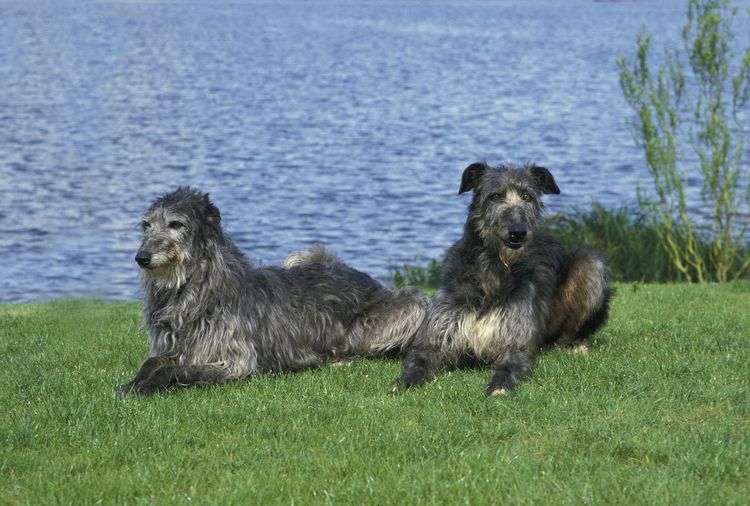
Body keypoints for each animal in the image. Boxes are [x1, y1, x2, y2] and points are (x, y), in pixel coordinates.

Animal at [118, 187, 426, 396]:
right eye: (146, 225)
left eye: (176, 224)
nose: (141, 258)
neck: (196, 288)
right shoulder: (173, 347)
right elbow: (153, 361)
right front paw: (134, 381)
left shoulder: (234, 361)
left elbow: (179, 369)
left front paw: (145, 386)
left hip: (412, 305)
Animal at [390, 164, 612, 398]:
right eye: (495, 196)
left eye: (527, 196)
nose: (518, 233)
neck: (492, 271)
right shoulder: (437, 335)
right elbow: (419, 360)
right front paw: (404, 381)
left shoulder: (515, 342)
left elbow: (509, 365)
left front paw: (499, 385)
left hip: (590, 264)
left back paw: (574, 345)